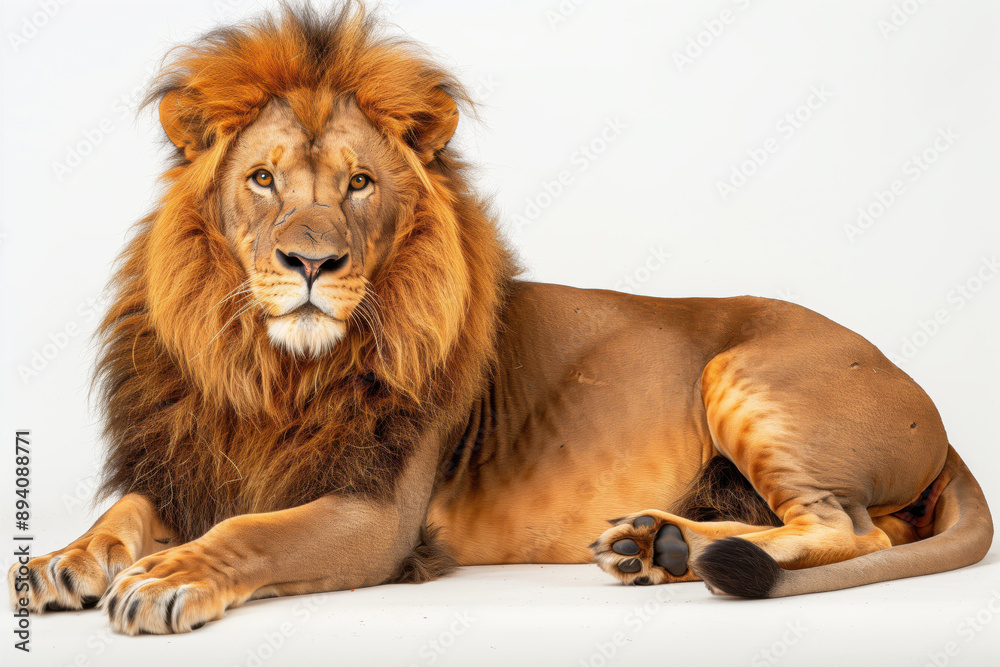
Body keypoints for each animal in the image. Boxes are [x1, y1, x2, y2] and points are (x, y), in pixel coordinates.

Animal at [7, 3, 992, 635]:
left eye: (358, 183)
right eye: (262, 179)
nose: (312, 264)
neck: (274, 369)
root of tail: (933, 409)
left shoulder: (378, 515)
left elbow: (253, 531)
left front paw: (169, 576)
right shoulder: (194, 460)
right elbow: (129, 507)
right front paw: (61, 560)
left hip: (742, 373)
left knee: (851, 529)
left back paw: (672, 546)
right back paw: (652, 543)